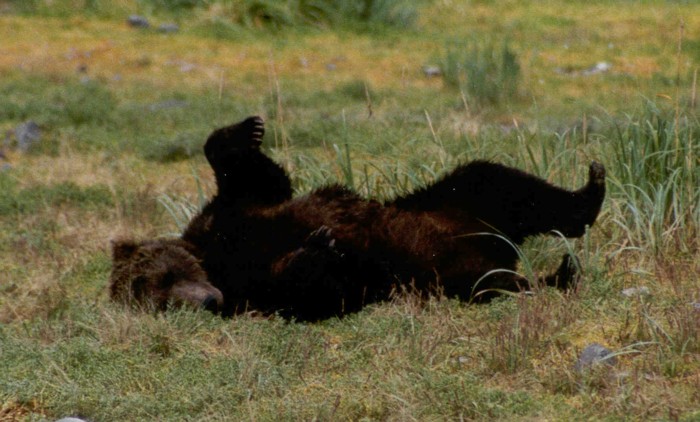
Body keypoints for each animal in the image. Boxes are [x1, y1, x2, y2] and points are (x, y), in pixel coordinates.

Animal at [110, 115, 608, 320]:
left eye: (165, 277)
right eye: (158, 301)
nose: (204, 302)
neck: (218, 263)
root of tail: (502, 251)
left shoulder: (228, 218)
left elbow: (258, 179)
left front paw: (245, 130)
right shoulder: (256, 293)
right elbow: (311, 292)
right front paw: (317, 246)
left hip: (451, 203)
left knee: (498, 180)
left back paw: (591, 191)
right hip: (448, 276)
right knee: (497, 282)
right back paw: (555, 275)